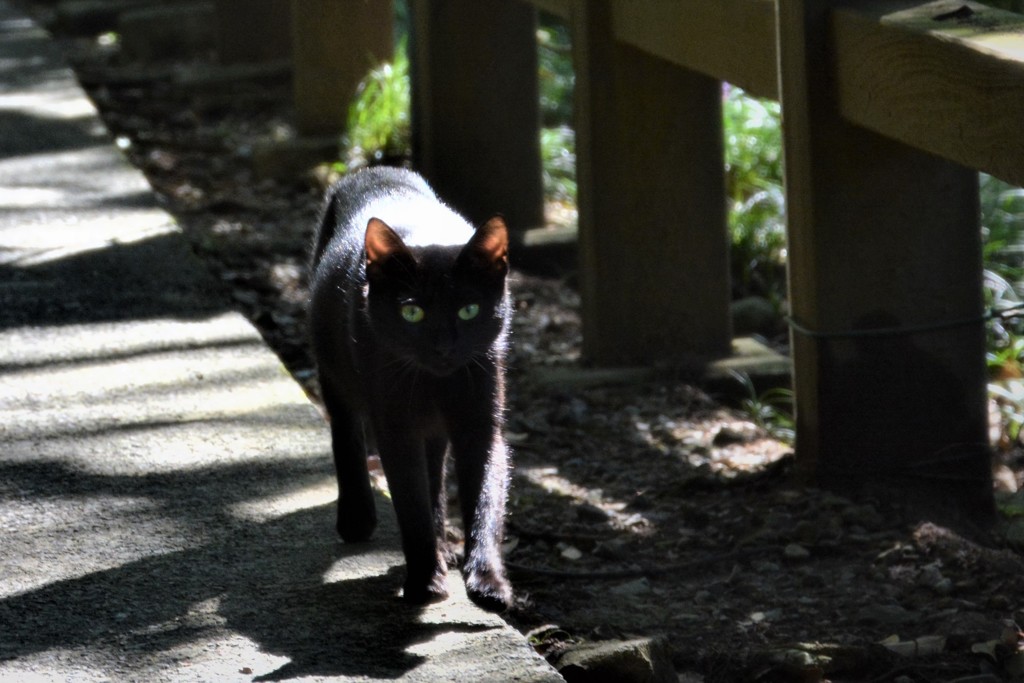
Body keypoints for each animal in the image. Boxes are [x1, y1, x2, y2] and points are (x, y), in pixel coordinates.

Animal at [303, 166, 512, 614]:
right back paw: (357, 518)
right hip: (335, 373)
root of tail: (377, 169)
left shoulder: (480, 424)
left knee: (434, 470)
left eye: (469, 310)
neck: (435, 381)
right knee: (346, 435)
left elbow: (485, 501)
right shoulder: (396, 427)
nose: (443, 347)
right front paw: (424, 582)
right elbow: (410, 503)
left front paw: (487, 582)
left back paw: (445, 546)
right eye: (411, 312)